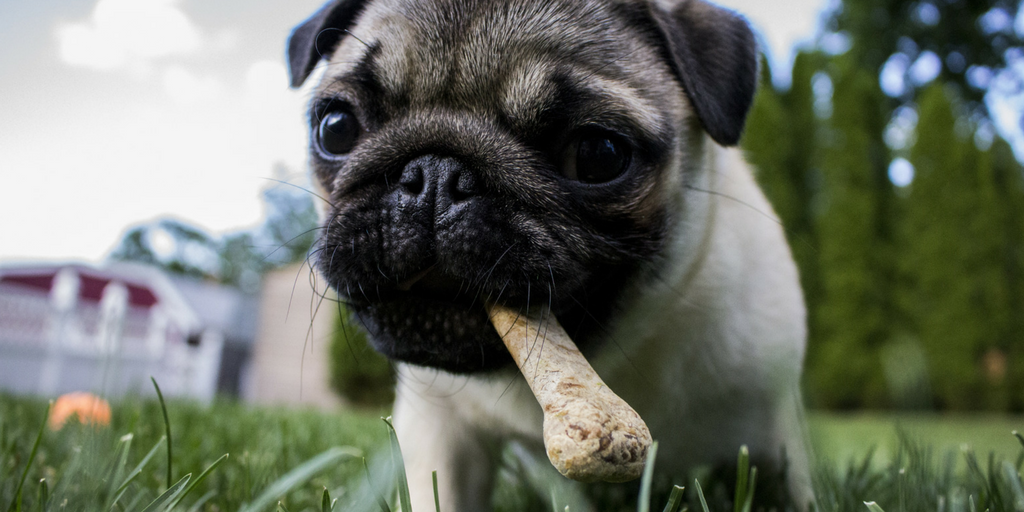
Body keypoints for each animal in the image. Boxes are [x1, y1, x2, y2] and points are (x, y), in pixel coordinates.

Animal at [290, 0, 815, 507]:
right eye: (336, 127)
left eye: (599, 154)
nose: (435, 174)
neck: (610, 359)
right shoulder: (438, 426)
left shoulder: (777, 431)